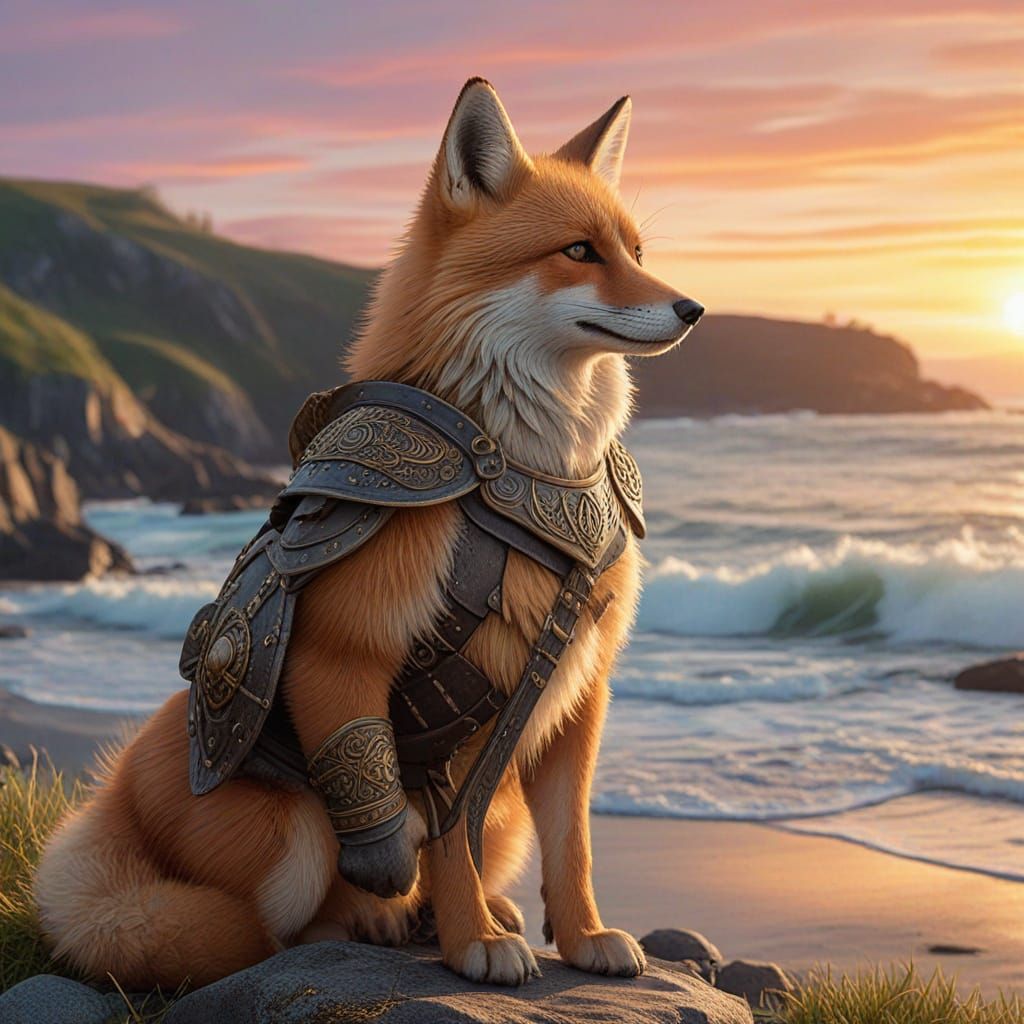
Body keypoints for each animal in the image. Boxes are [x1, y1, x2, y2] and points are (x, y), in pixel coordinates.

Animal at [34, 78, 703, 989]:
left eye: (633, 250)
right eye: (578, 252)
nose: (693, 308)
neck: (526, 471)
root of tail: (118, 804)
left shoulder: (577, 691)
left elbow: (574, 846)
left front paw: (581, 935)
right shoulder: (355, 659)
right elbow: (437, 842)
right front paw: (470, 943)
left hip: (503, 816)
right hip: (298, 837)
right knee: (286, 926)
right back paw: (384, 919)